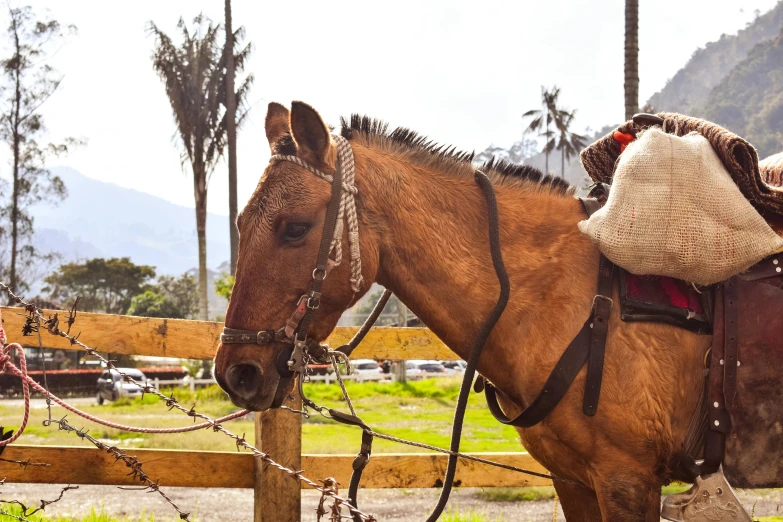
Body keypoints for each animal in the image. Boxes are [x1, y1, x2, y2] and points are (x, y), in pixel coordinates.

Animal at [214, 99, 716, 516]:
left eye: (295, 228)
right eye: (240, 222)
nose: (236, 373)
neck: (576, 301)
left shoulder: (626, 479)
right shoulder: (575, 480)